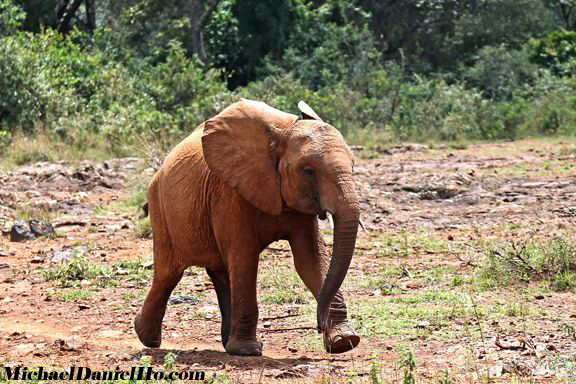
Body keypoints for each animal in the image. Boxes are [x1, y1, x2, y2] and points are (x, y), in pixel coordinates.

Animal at [135, 99, 360, 356]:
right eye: (309, 171)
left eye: (353, 166)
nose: (318, 325)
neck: (282, 135)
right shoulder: (230, 193)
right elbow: (244, 257)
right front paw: (247, 351)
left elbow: (310, 260)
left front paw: (344, 341)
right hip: (161, 209)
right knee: (168, 274)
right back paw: (147, 337)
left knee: (220, 272)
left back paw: (224, 343)